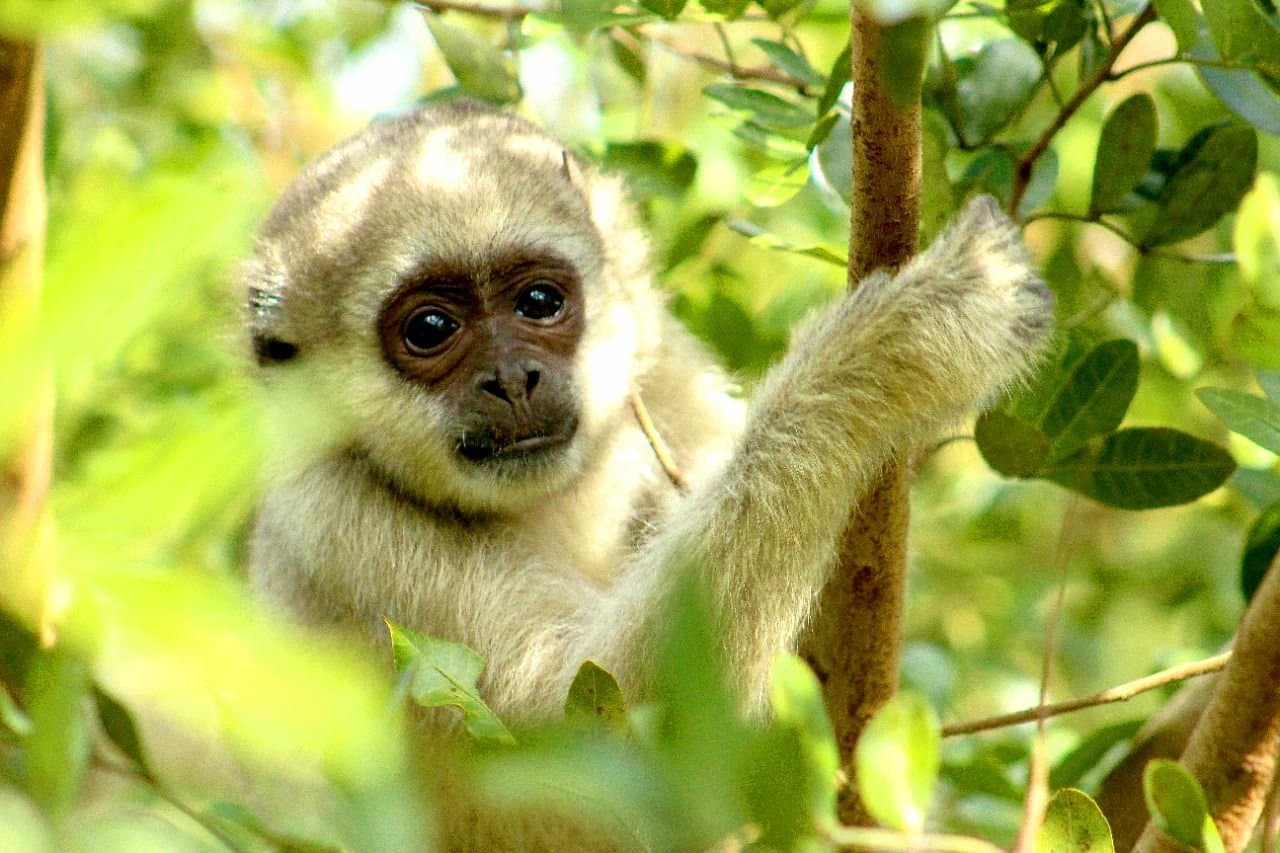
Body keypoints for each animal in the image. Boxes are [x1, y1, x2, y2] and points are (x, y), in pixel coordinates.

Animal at [242, 100, 1054, 850]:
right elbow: (614, 743)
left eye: (539, 302)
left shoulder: (664, 367)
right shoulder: (336, 526)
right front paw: (903, 345)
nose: (510, 378)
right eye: (430, 329)